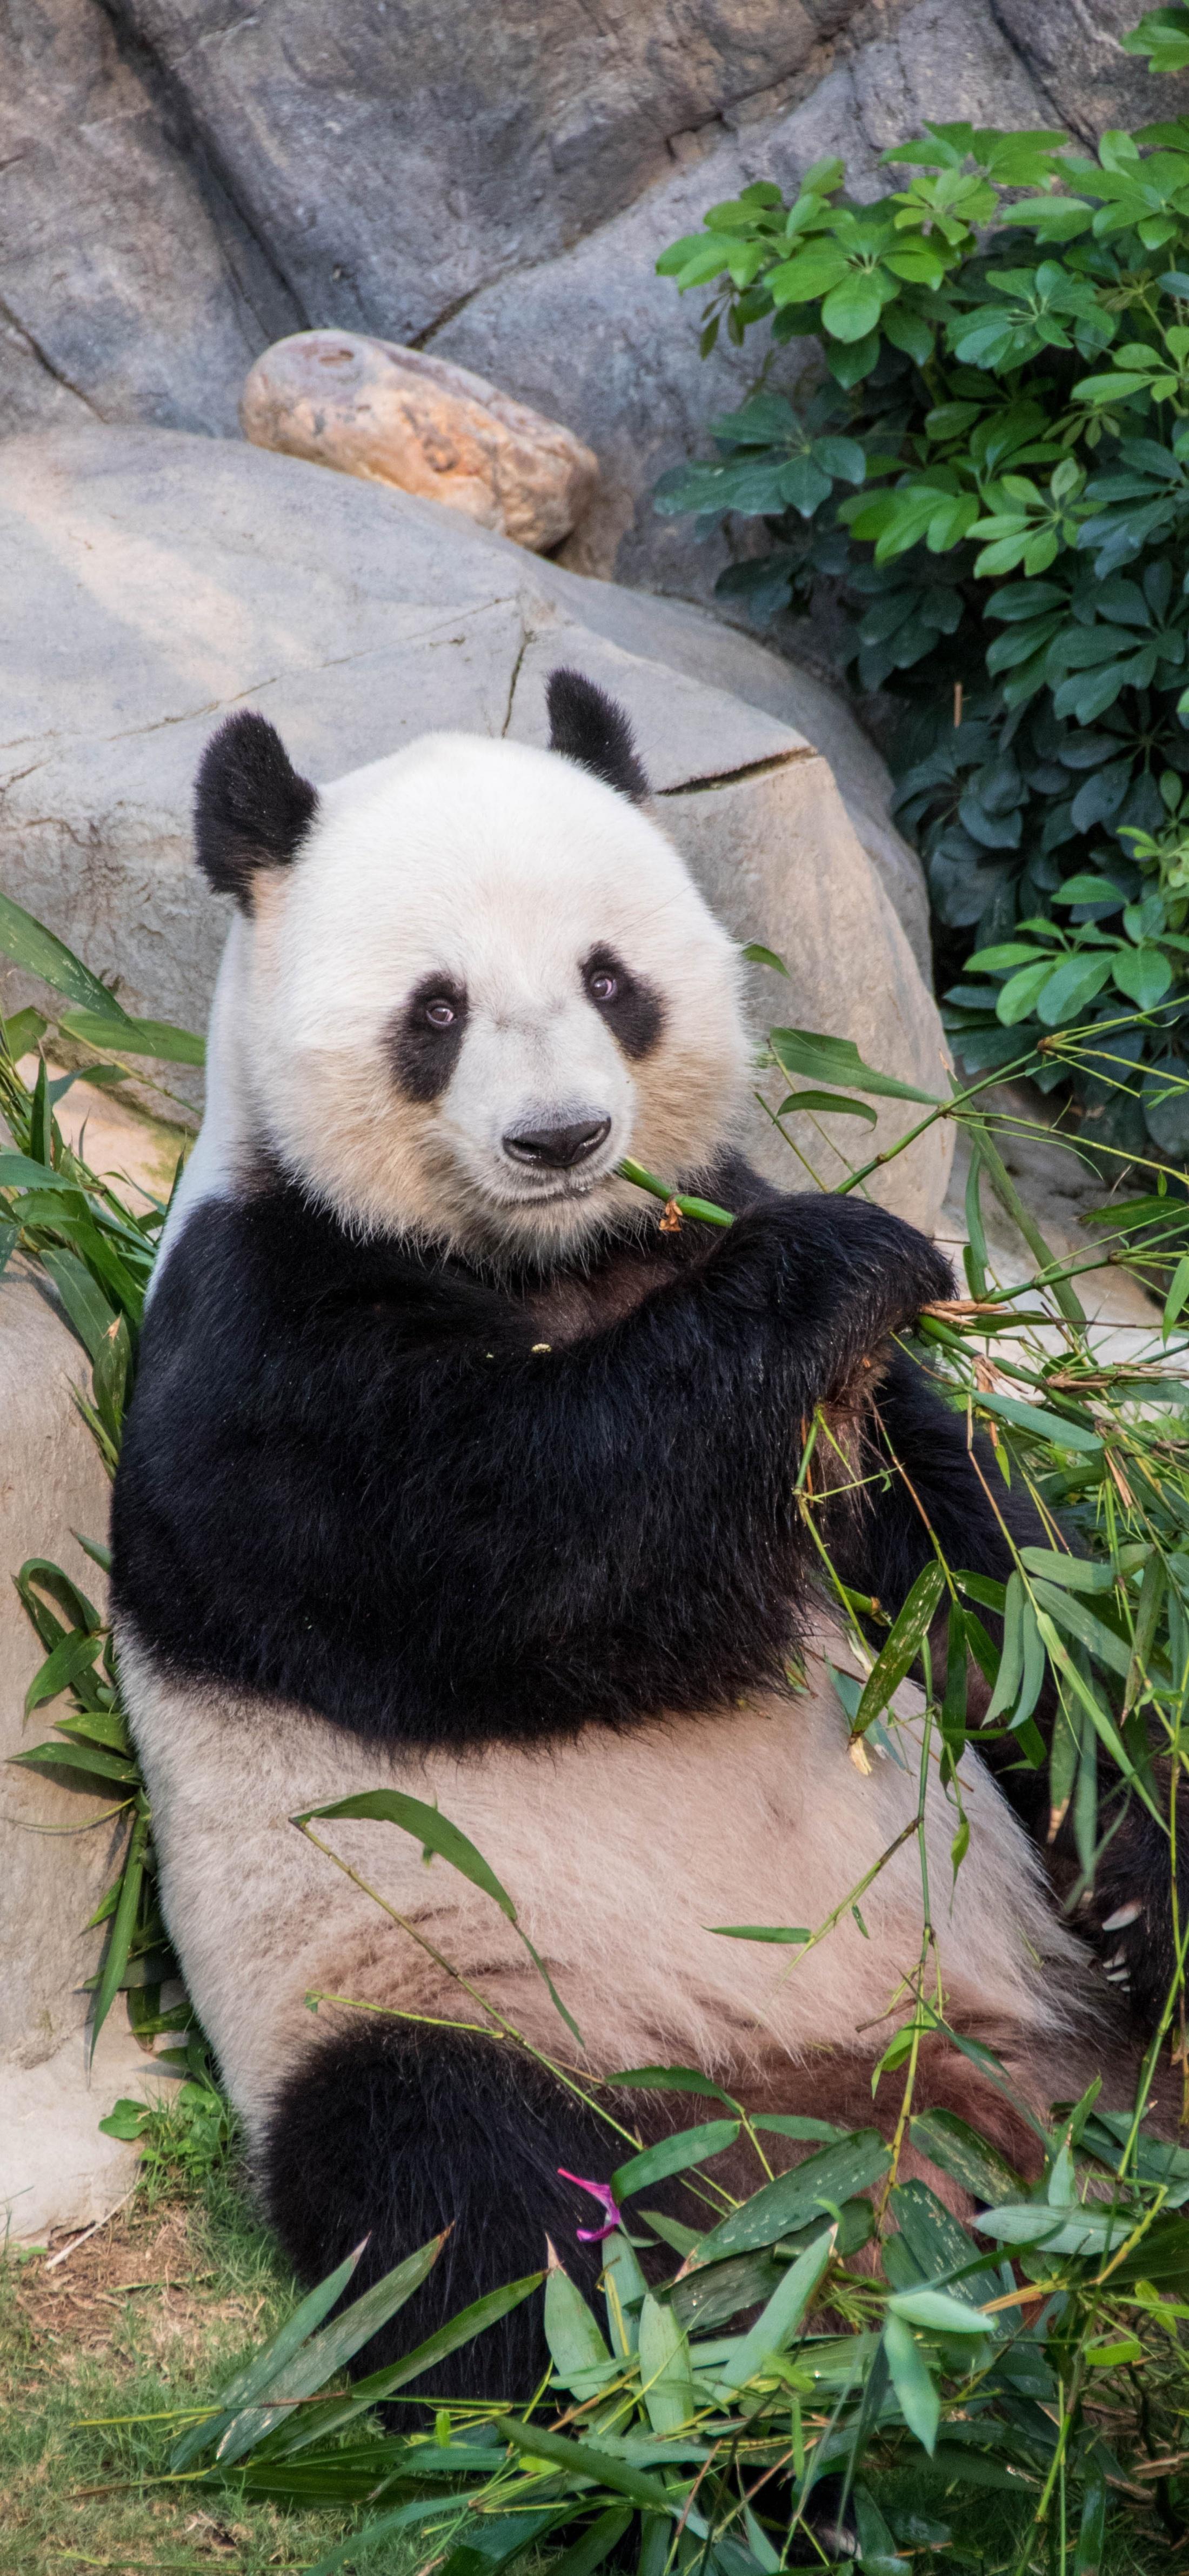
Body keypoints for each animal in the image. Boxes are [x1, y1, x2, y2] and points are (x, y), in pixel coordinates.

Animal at [111, 669, 1153, 2390]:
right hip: (457, 1993)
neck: (554, 1259)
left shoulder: (757, 1294)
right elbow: (532, 1547)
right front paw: (845, 1257)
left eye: (611, 979)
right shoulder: (257, 1345)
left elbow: (991, 1588)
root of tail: (915, 2115)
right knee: (485, 2202)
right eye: (436, 1009)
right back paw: (753, 2377)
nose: (559, 1138)